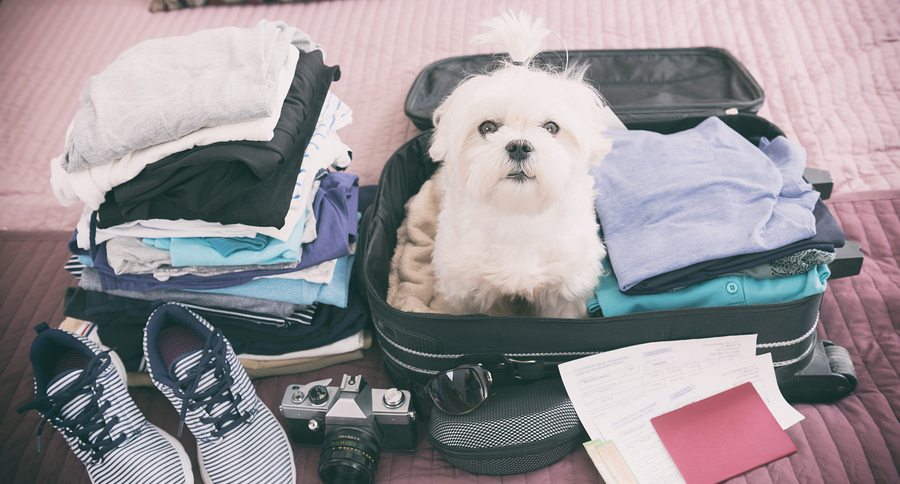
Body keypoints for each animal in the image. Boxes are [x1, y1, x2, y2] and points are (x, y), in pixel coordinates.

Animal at [430, 11, 620, 318]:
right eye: (487, 127)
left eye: (551, 127)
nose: (519, 146)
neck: (518, 214)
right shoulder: (470, 292)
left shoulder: (565, 292)